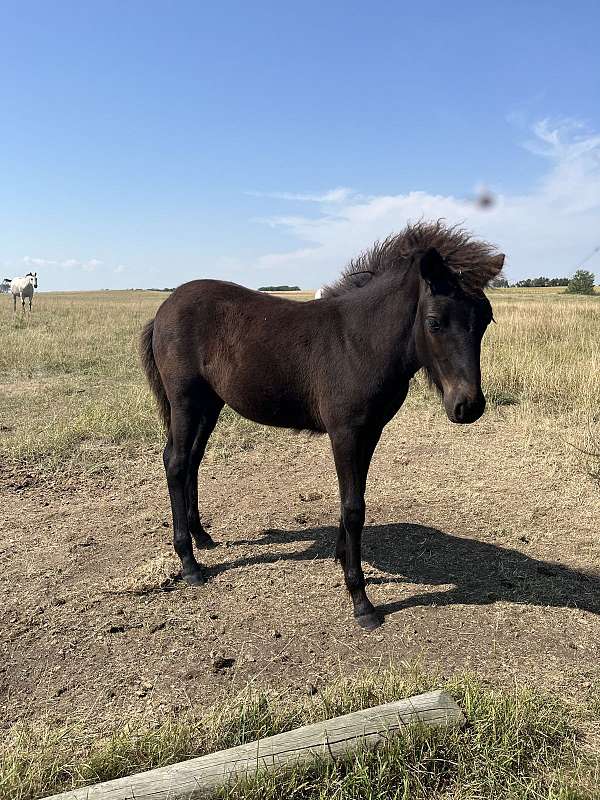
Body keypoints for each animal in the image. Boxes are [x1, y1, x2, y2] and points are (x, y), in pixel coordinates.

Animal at [143, 220, 504, 632]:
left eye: (485, 319)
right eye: (434, 322)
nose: (468, 406)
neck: (360, 342)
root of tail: (166, 306)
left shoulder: (370, 430)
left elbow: (355, 499)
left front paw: (342, 558)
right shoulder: (345, 432)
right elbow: (353, 507)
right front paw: (361, 600)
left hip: (210, 403)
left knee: (192, 460)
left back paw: (202, 537)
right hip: (185, 400)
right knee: (176, 462)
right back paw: (189, 564)